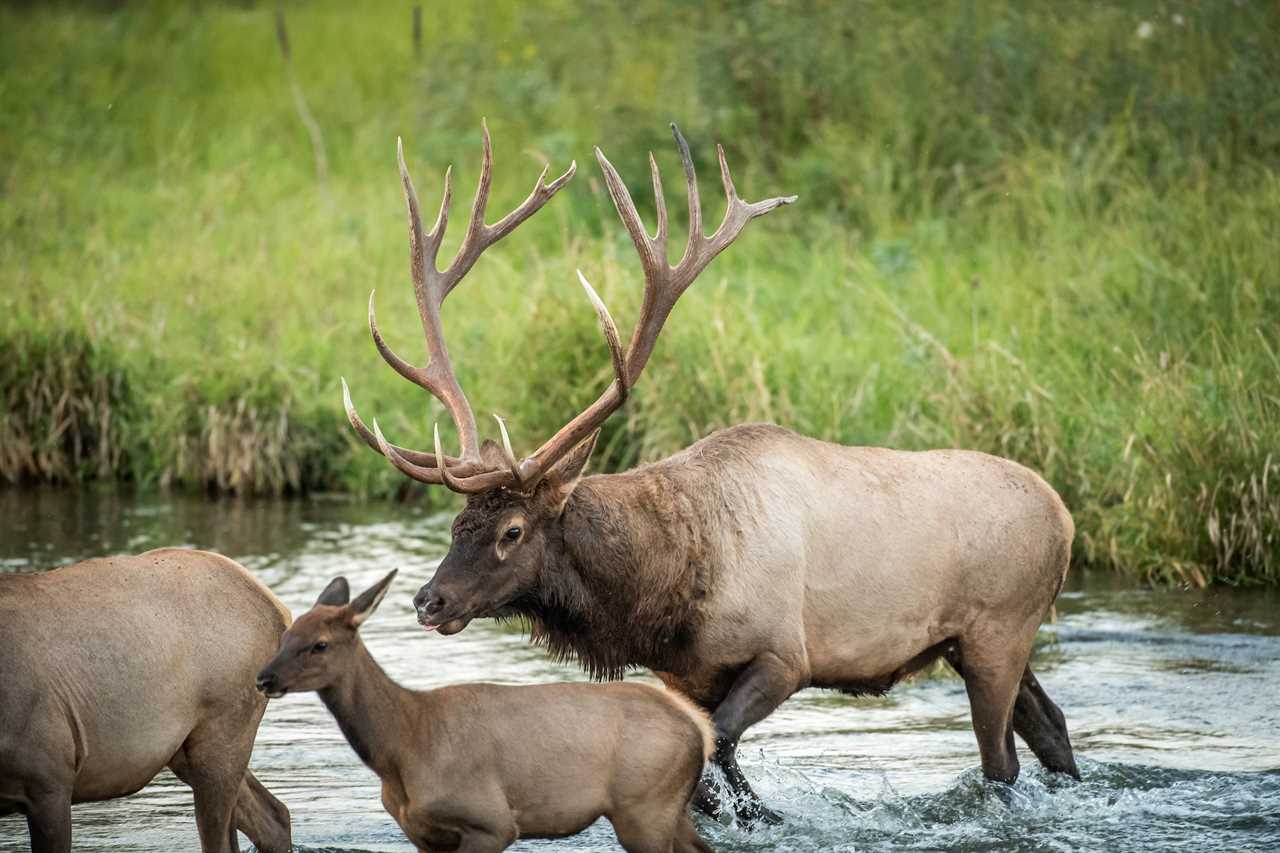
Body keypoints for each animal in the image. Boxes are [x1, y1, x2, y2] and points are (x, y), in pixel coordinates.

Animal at [254, 563, 716, 850]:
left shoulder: (490, 821)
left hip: (645, 806)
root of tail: (699, 728)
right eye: (285, 635)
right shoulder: (423, 836)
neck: (403, 746)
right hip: (669, 810)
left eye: (319, 644)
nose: (264, 678)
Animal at [340, 122, 1080, 819]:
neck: (662, 590)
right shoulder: (686, 677)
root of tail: (1067, 517)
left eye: (513, 530)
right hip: (977, 641)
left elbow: (716, 751)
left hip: (999, 629)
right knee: (1051, 725)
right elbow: (716, 769)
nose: (429, 600)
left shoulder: (786, 655)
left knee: (1002, 760)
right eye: (457, 523)